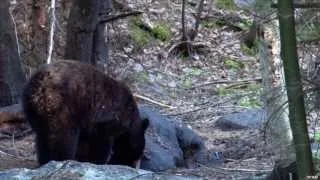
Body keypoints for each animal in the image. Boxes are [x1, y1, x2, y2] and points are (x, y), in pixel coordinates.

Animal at [21, 60, 149, 167]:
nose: (133, 164)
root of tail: (39, 86)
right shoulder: (106, 119)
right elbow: (100, 143)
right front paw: (98, 161)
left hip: (33, 111)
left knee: (42, 137)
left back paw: (45, 161)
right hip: (62, 107)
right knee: (63, 137)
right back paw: (62, 160)